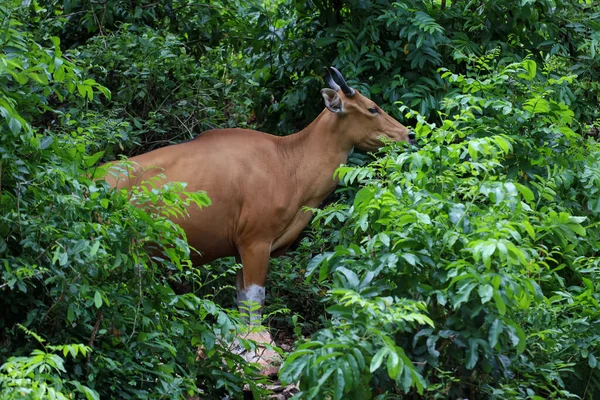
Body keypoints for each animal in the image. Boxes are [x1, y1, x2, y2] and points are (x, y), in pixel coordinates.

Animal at [105, 66, 412, 322]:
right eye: (372, 108)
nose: (408, 134)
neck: (288, 163)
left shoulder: (239, 250)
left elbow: (241, 301)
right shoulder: (256, 242)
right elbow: (255, 301)